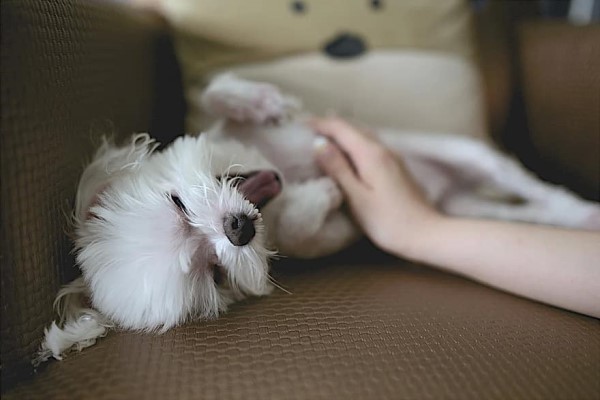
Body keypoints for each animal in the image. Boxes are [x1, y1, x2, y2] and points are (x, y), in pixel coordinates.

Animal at [36, 73, 600, 364]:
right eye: (213, 273)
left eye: (176, 203)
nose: (237, 229)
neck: (275, 173)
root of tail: (448, 190)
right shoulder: (320, 236)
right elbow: (309, 229)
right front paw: (322, 192)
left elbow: (217, 91)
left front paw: (260, 102)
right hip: (464, 208)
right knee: (526, 209)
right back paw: (577, 217)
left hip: (465, 154)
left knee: (519, 181)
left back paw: (580, 209)